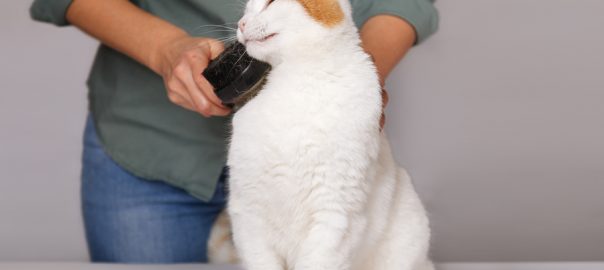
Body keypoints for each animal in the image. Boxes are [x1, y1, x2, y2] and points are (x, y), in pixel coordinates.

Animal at [224, 0, 432, 270]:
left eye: (270, 3)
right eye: (248, 8)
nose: (241, 23)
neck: (295, 84)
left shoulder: (334, 216)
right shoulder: (248, 214)